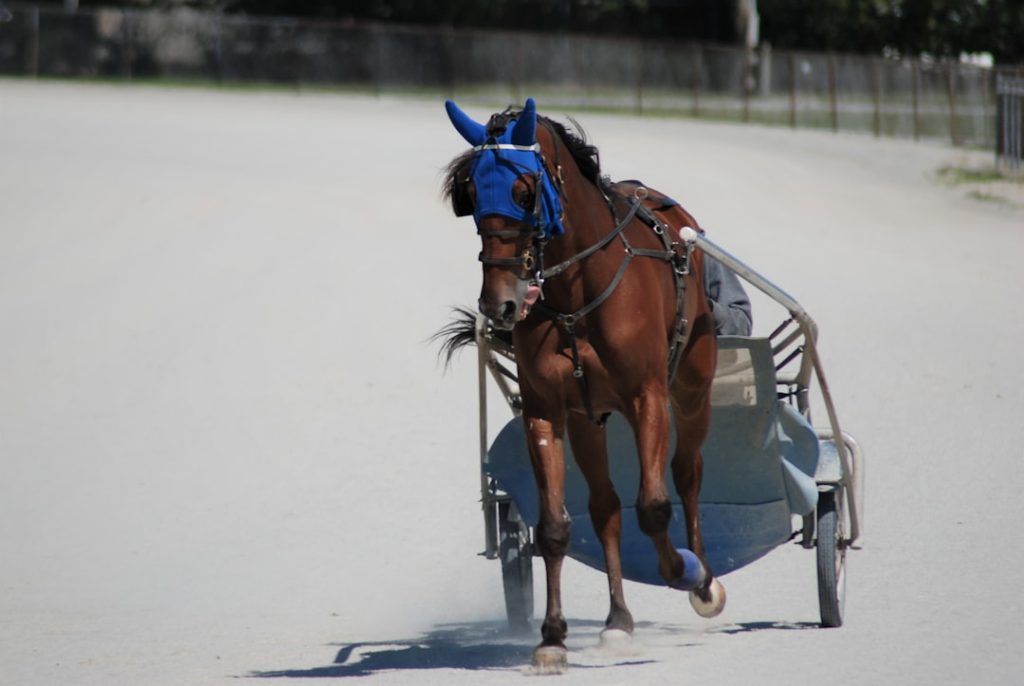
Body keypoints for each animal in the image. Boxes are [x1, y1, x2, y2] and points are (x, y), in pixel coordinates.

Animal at [441, 98, 725, 672]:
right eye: (471, 193)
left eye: (525, 191)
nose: (499, 303)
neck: (576, 297)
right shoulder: (548, 410)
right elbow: (556, 525)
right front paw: (552, 636)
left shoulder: (647, 397)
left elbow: (654, 506)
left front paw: (683, 570)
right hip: (587, 419)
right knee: (605, 506)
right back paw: (618, 621)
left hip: (691, 389)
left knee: (687, 473)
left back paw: (702, 577)